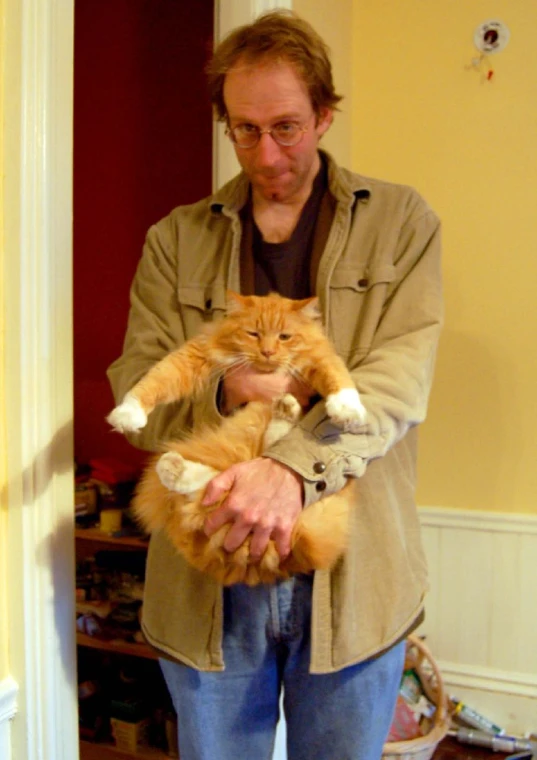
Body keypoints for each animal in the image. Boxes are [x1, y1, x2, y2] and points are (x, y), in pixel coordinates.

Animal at [105, 290, 364, 580]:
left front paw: (347, 408)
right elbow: (155, 380)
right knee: (212, 485)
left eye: (284, 336)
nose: (268, 352)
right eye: (253, 334)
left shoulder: (319, 355)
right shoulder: (197, 354)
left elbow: (337, 377)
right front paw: (128, 412)